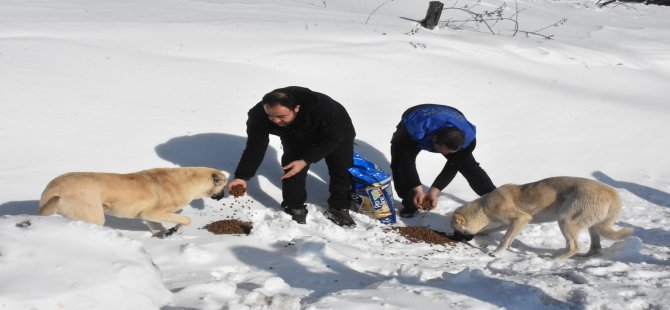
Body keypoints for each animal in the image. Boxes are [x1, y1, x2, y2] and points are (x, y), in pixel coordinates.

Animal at [39, 167, 228, 237]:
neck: (188, 181)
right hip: (93, 215)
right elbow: (186, 220)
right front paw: (176, 230)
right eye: (224, 184)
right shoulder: (153, 212)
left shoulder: (148, 216)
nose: (224, 196)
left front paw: (163, 236)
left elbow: (158, 228)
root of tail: (53, 188)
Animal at [452, 177, 636, 260]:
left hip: (565, 220)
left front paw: (495, 253)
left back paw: (556, 259)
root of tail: (613, 194)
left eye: (456, 229)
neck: (483, 207)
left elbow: (504, 240)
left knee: (574, 246)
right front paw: (483, 234)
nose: (455, 240)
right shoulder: (506, 223)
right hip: (592, 226)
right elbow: (490, 230)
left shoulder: (520, 219)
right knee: (595, 247)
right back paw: (582, 256)